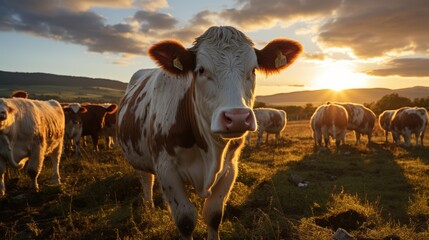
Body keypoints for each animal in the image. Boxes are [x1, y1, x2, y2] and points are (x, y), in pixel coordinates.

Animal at [116, 25, 300, 239]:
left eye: (253, 69)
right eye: (201, 70)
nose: (237, 117)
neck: (210, 151)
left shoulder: (230, 168)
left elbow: (213, 215)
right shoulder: (166, 169)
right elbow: (186, 220)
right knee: (146, 179)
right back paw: (149, 206)